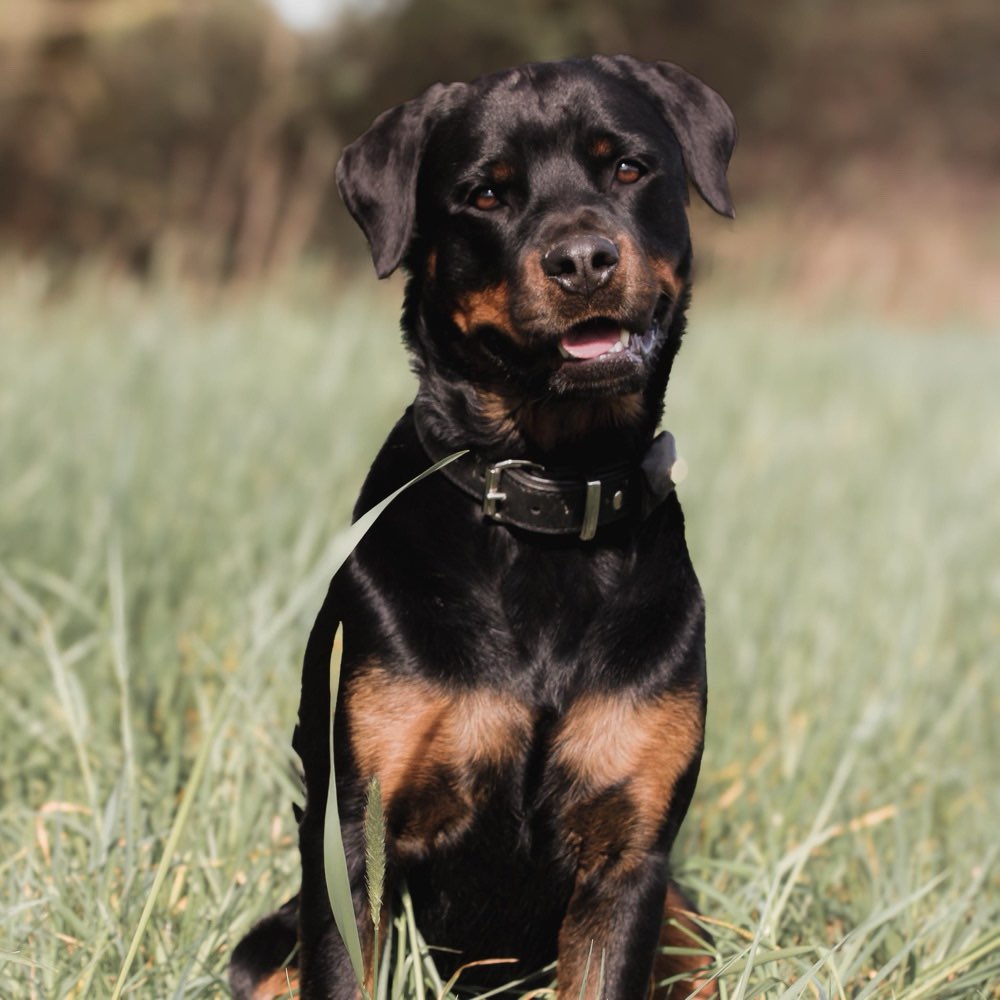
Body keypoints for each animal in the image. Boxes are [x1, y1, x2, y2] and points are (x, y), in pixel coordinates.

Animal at [232, 56, 736, 1000]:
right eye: (486, 195)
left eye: (628, 168)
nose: (582, 259)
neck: (552, 489)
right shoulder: (357, 838)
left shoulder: (630, 855)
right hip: (268, 950)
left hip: (688, 925)